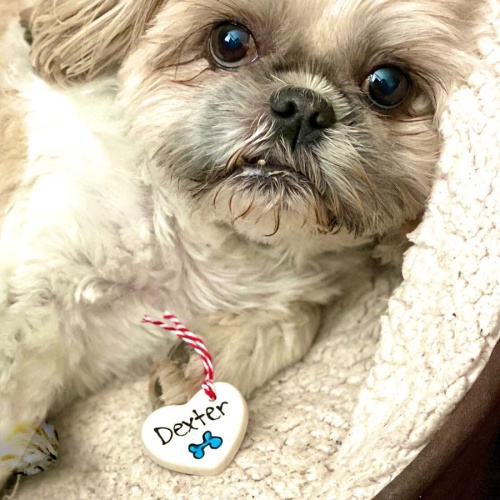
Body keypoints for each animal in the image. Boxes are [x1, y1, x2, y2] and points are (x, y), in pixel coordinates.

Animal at [0, 0, 482, 484]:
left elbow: (294, 318)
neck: (206, 241)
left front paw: (197, 363)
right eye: (230, 41)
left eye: (387, 84)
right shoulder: (39, 286)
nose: (302, 107)